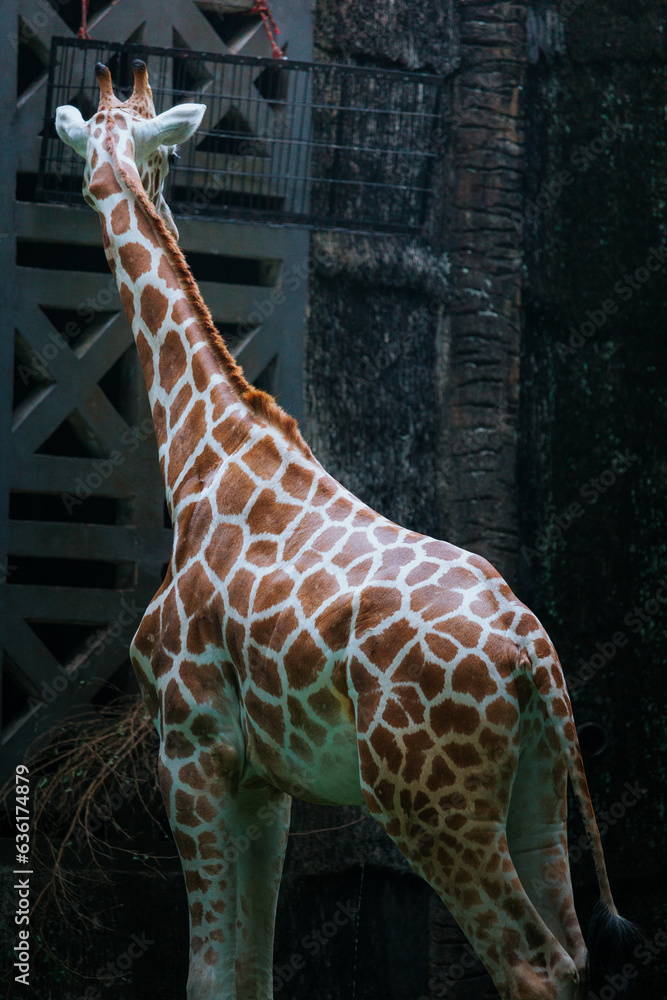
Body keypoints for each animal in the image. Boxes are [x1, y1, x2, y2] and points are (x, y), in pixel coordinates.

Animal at [55, 62, 642, 1000]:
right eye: (164, 152)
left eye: (86, 159)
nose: (104, 189)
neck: (199, 453)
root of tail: (533, 660)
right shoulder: (265, 778)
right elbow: (250, 975)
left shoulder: (188, 744)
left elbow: (209, 973)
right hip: (536, 790)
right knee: (576, 950)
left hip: (425, 798)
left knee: (533, 962)